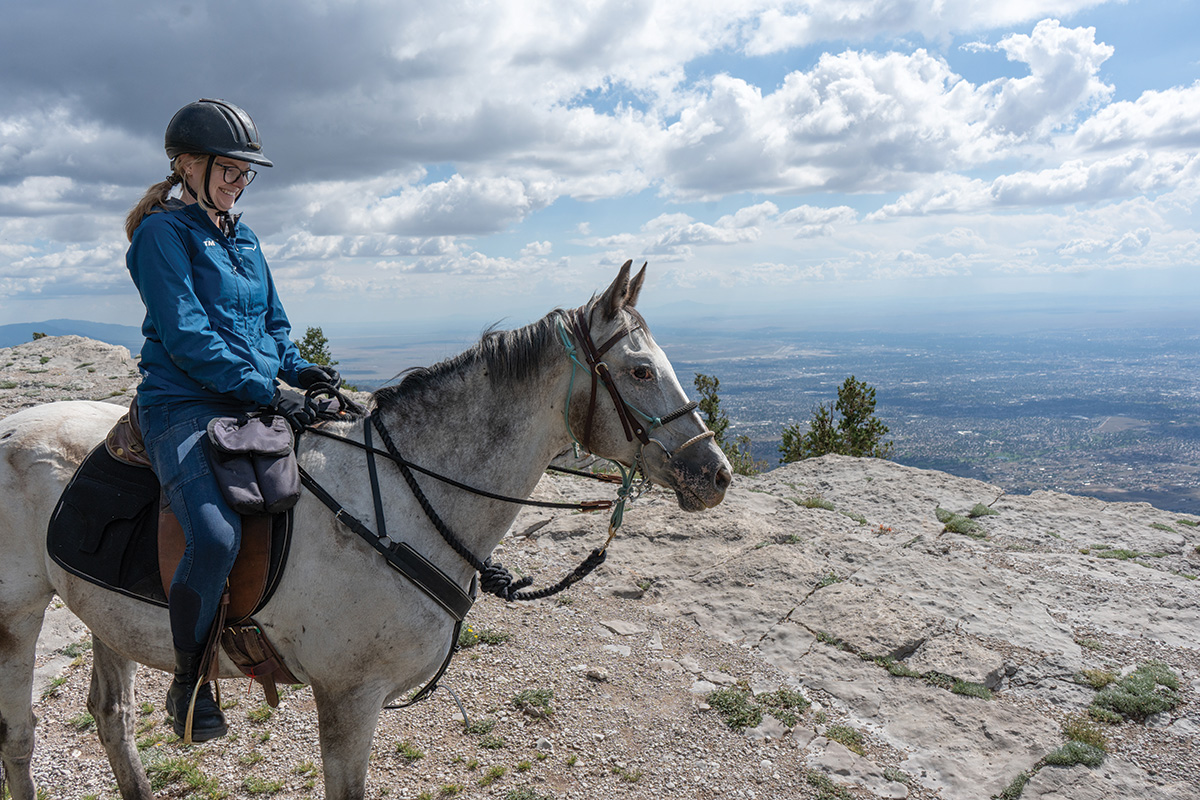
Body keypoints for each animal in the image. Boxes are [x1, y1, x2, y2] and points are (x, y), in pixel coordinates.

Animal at [0, 266, 729, 800]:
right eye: (640, 370)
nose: (714, 473)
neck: (405, 504)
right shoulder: (348, 698)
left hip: (106, 614)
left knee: (111, 719)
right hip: (19, 614)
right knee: (19, 735)